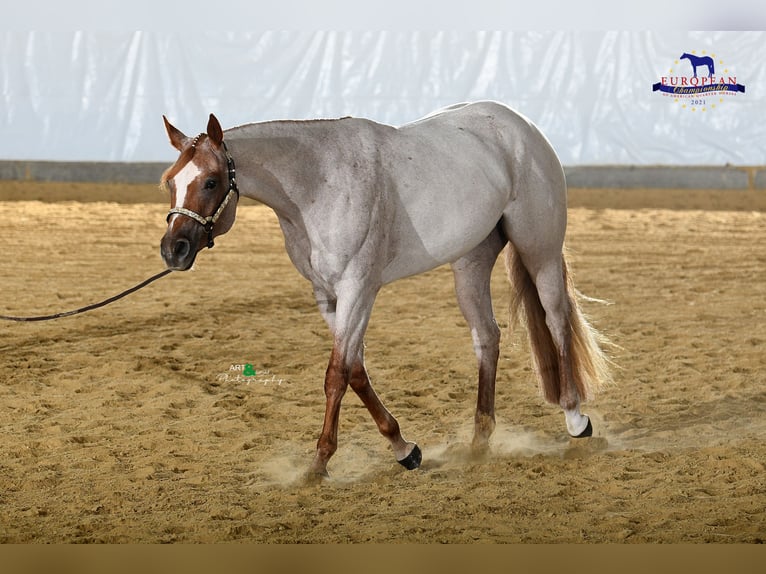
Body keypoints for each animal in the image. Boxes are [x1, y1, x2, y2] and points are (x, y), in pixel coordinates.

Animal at [159, 101, 611, 479]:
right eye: (170, 183)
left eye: (211, 182)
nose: (173, 250)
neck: (318, 183)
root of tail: (522, 126)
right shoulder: (328, 296)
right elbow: (356, 370)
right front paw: (404, 449)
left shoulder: (359, 288)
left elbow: (336, 375)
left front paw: (319, 463)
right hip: (470, 264)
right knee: (487, 337)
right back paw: (480, 441)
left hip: (540, 251)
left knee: (556, 320)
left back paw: (576, 420)